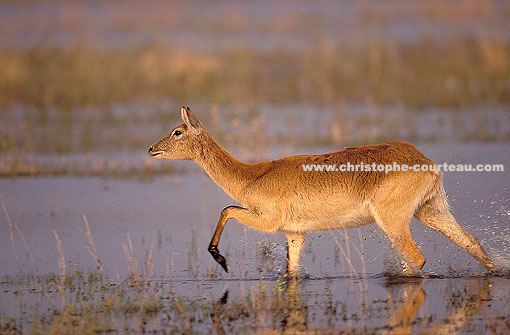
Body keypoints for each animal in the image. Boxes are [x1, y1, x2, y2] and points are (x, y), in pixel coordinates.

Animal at [146, 107, 494, 278]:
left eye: (177, 131)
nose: (151, 148)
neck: (252, 176)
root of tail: (425, 161)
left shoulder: (267, 221)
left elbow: (226, 209)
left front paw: (221, 260)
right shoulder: (294, 233)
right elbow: (291, 272)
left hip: (393, 221)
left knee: (417, 259)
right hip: (431, 210)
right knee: (473, 244)